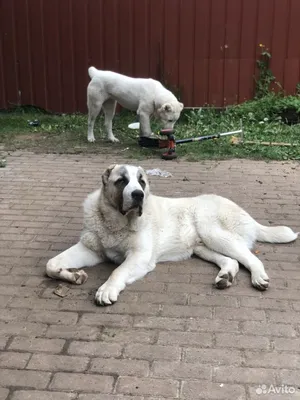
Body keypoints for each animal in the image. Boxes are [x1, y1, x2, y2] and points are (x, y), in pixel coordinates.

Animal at [45, 164, 298, 304]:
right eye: (122, 181)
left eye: (142, 182)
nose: (138, 195)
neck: (116, 223)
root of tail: (245, 212)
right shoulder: (90, 250)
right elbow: (50, 265)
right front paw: (73, 275)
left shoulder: (139, 257)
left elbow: (117, 271)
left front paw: (107, 289)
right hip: (202, 246)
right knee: (232, 261)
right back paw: (225, 277)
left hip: (213, 232)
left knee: (251, 258)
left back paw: (259, 277)